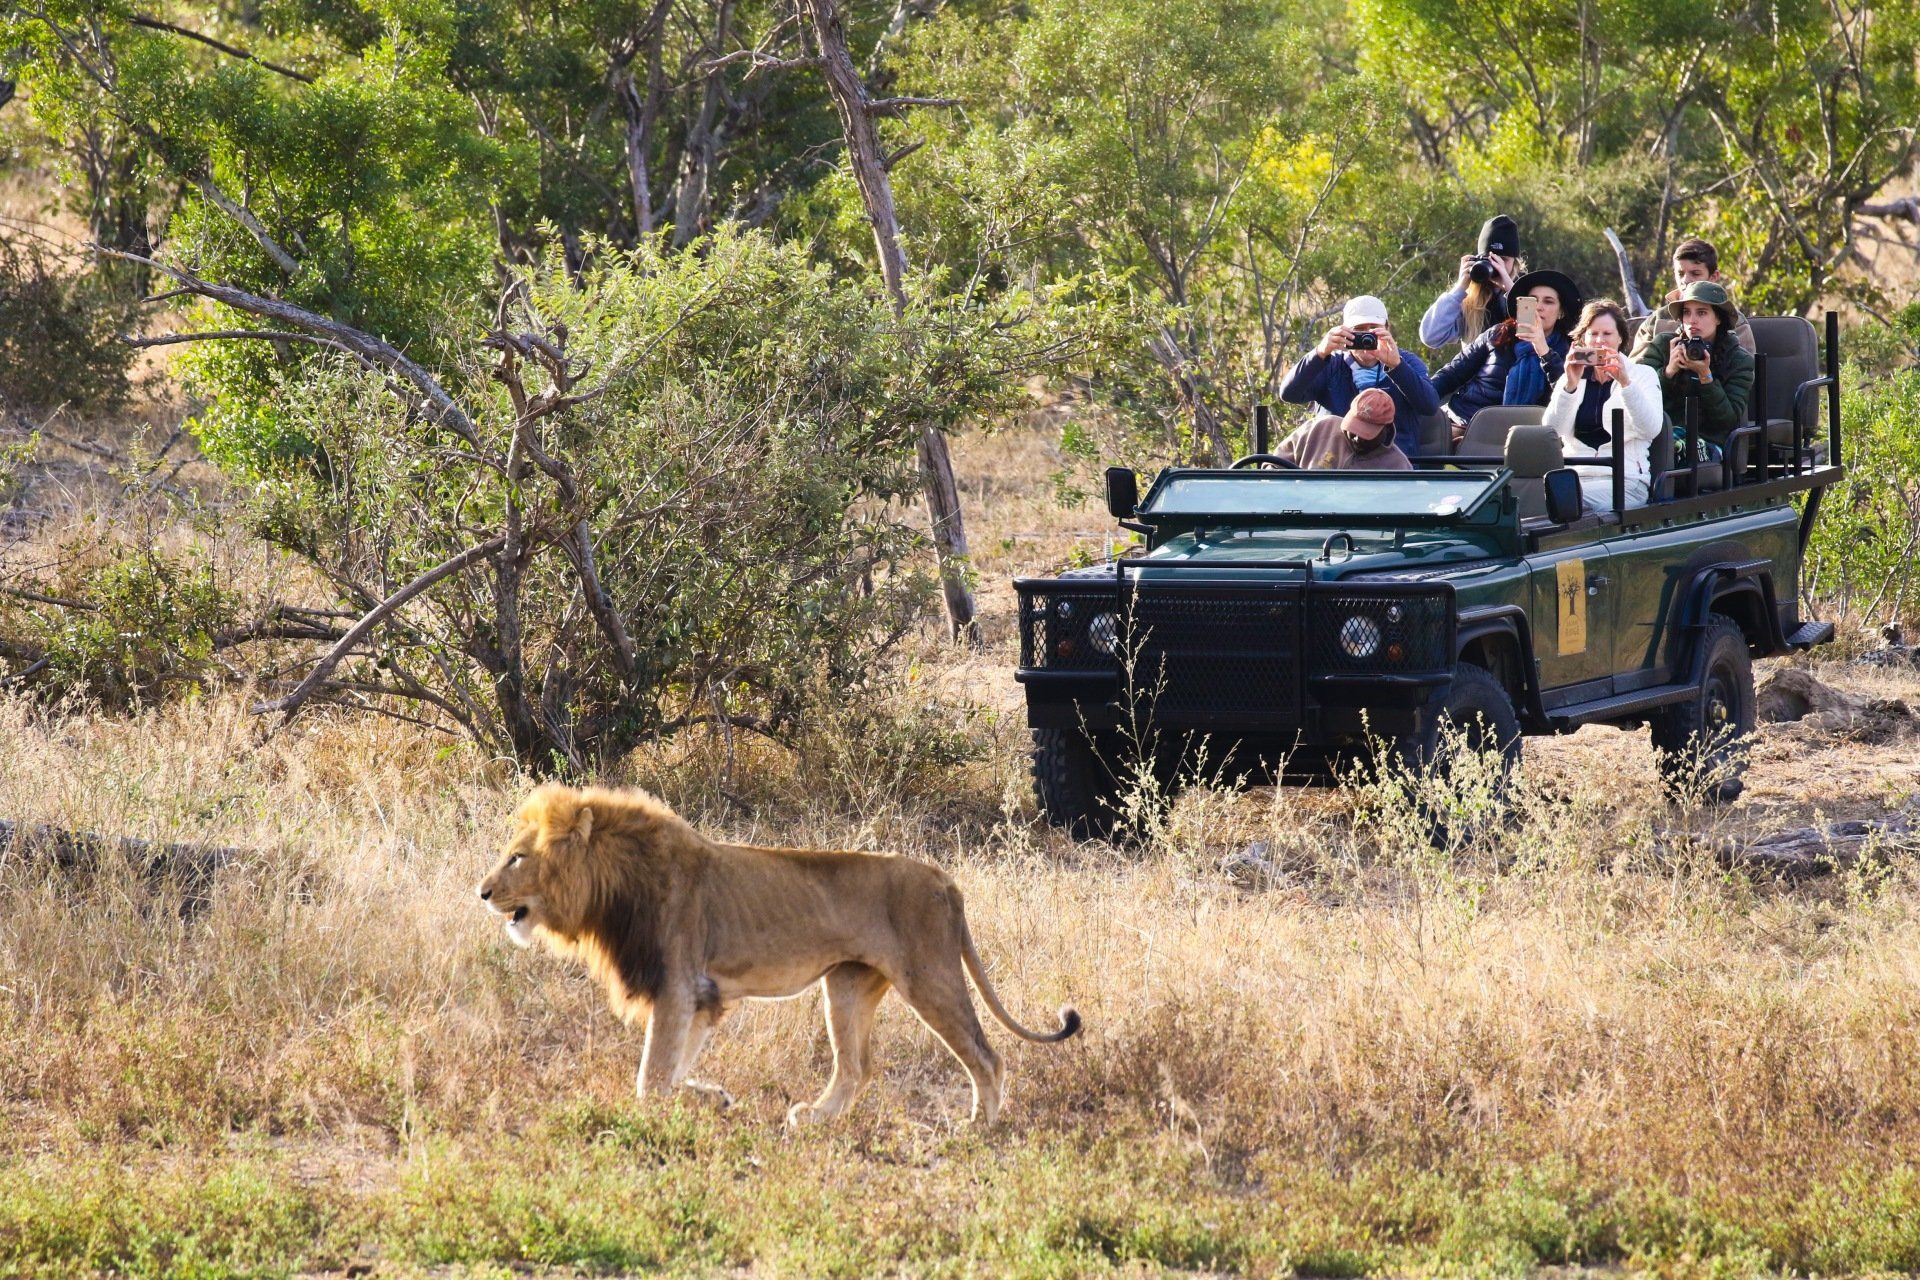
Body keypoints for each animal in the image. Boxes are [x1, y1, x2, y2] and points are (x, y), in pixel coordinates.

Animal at [476, 786, 1082, 1128]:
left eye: (517, 858)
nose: (481, 892)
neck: (612, 886)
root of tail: (945, 879)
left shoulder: (676, 986)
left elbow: (652, 1077)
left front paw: (663, 1112)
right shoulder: (702, 997)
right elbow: (672, 1072)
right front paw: (715, 1098)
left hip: (929, 976)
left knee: (986, 1056)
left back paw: (978, 1128)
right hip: (846, 985)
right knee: (856, 1067)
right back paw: (813, 1118)